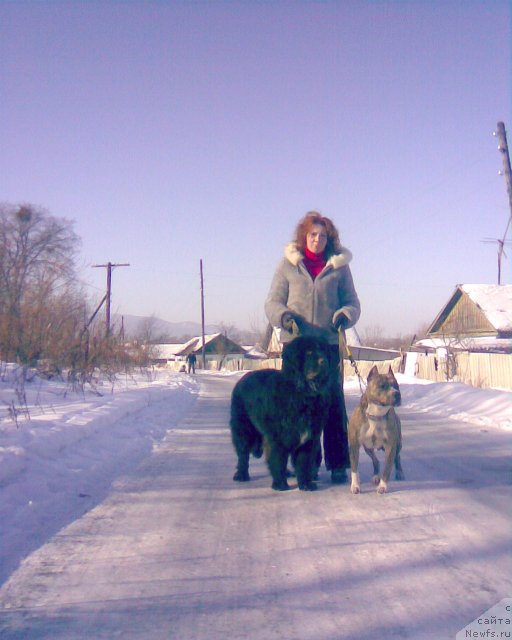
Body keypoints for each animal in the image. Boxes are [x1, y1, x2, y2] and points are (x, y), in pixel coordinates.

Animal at [229, 336, 332, 490]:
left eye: (322, 351)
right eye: (309, 352)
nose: (324, 361)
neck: (302, 394)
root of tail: (241, 380)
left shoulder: (309, 438)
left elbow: (304, 462)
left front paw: (306, 484)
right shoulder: (277, 437)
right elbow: (278, 459)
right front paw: (280, 484)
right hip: (243, 428)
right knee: (243, 453)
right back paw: (241, 475)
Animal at [348, 364, 404, 496]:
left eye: (397, 385)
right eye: (382, 386)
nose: (397, 394)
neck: (376, 414)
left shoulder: (390, 446)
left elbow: (387, 468)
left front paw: (382, 487)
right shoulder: (354, 445)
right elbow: (354, 467)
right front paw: (355, 486)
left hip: (398, 444)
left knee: (397, 457)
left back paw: (399, 472)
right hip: (368, 447)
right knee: (376, 460)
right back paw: (375, 476)